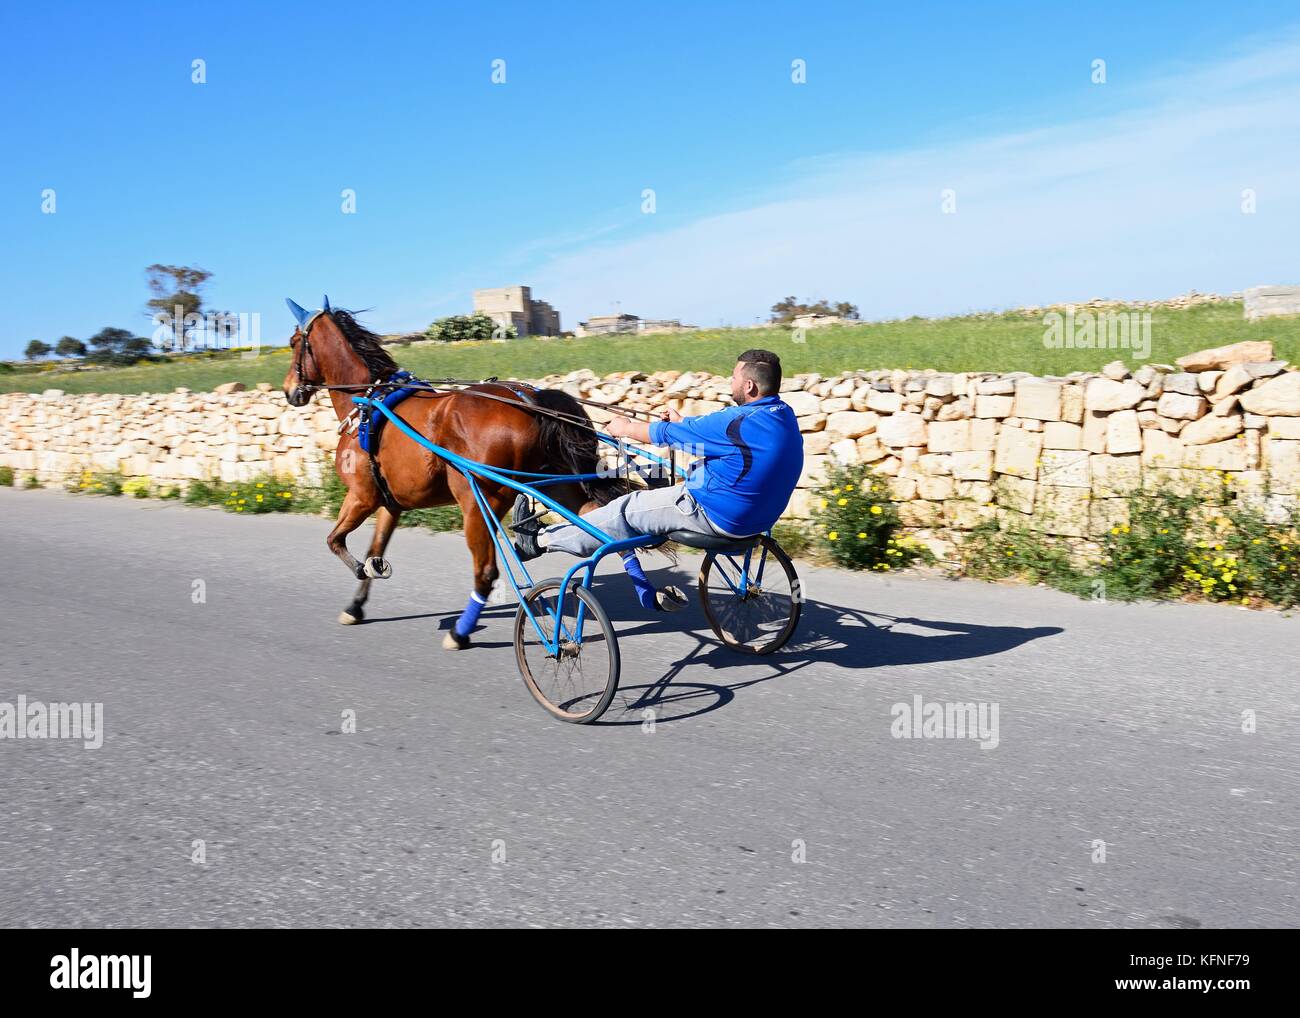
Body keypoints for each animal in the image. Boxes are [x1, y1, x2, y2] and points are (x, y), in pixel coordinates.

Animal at [282, 296, 626, 644]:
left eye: (294, 342)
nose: (289, 390)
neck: (368, 401)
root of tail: (531, 399)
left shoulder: (361, 497)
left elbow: (334, 540)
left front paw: (360, 570)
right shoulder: (390, 504)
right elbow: (374, 548)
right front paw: (356, 604)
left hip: (478, 502)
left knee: (486, 572)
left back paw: (460, 632)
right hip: (556, 483)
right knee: (598, 516)